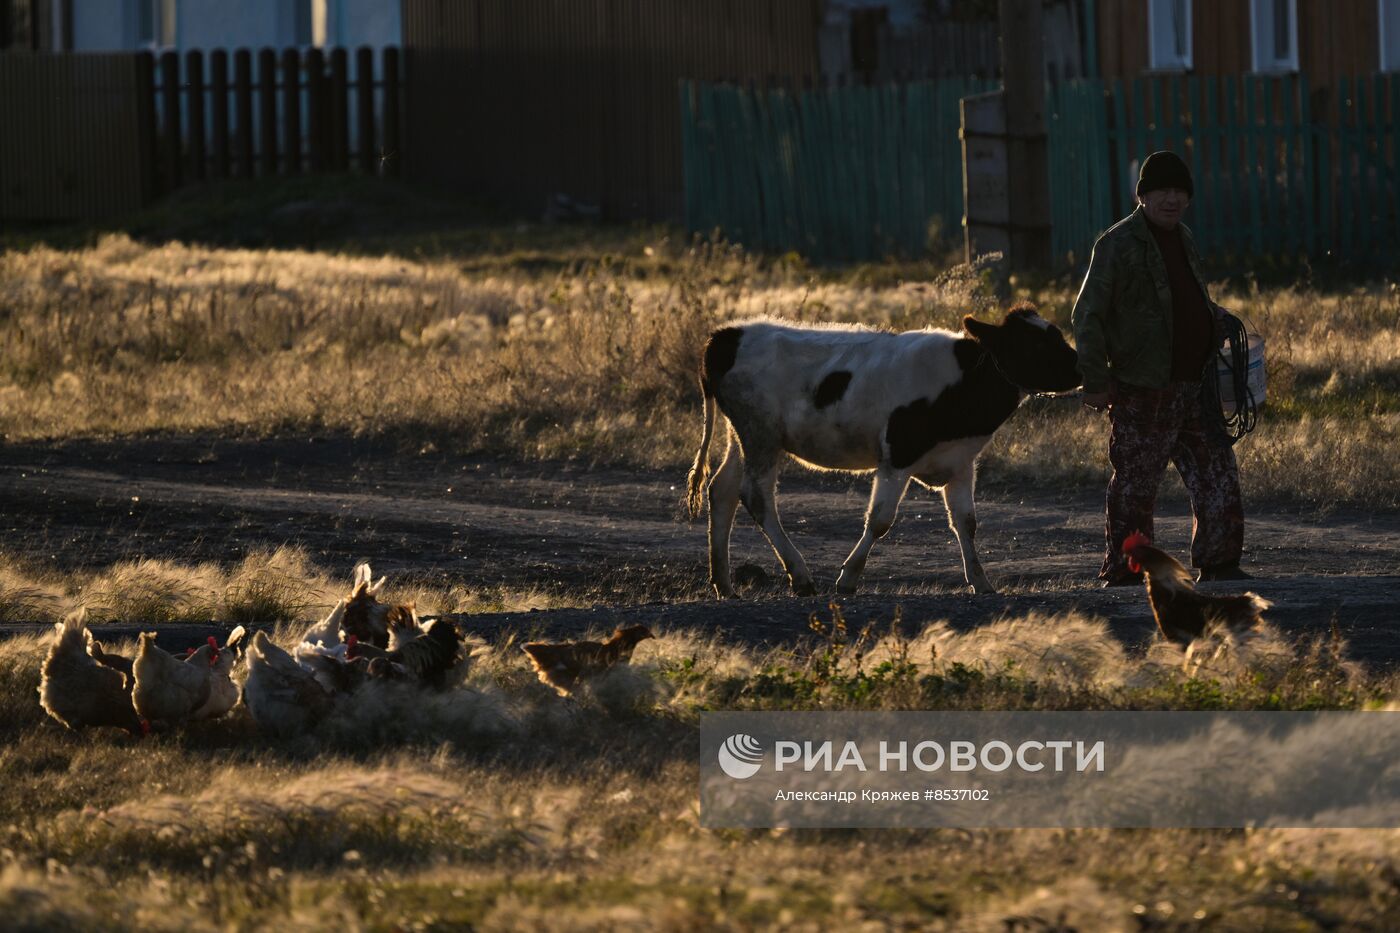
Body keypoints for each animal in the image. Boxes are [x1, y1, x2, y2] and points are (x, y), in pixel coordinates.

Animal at [688, 303, 1080, 596]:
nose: (1081, 370)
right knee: (756, 496)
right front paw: (848, 577)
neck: (961, 383)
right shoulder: (897, 458)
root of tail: (728, 334)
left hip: (744, 437)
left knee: (722, 491)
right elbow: (880, 520)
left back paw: (724, 583)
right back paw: (799, 575)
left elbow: (966, 523)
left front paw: (980, 581)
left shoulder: (960, 464)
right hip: (761, 435)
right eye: (1035, 344)